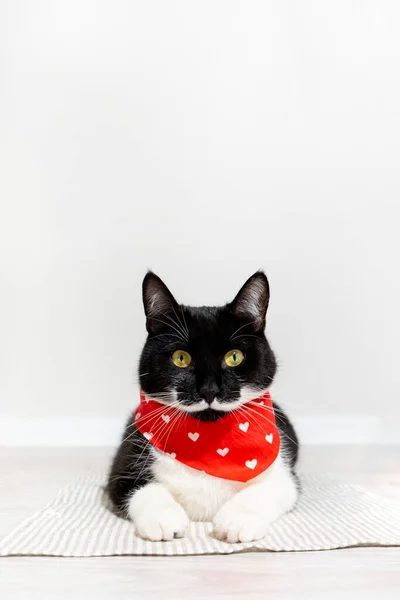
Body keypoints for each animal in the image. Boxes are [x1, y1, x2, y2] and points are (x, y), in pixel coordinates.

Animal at [108, 272, 298, 544]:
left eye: (234, 357)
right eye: (180, 358)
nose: (209, 390)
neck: (207, 441)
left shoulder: (283, 475)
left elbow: (268, 490)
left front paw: (237, 519)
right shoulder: (123, 466)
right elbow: (142, 488)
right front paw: (163, 518)